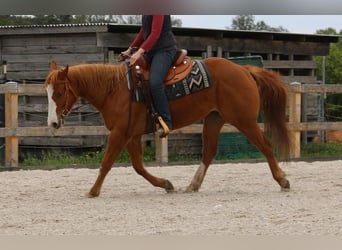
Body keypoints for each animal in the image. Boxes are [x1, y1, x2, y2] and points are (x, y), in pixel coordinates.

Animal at [44, 58, 292, 197]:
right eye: (47, 92)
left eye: (59, 92)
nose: (52, 123)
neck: (115, 89)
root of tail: (244, 69)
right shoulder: (131, 135)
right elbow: (138, 167)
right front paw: (166, 184)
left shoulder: (119, 133)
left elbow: (106, 164)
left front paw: (93, 191)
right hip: (214, 119)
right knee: (208, 152)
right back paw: (192, 185)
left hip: (245, 121)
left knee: (266, 145)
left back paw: (282, 180)